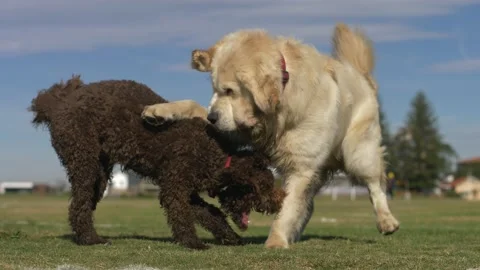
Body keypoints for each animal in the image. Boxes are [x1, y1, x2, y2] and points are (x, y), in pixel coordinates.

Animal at [29, 75, 284, 250]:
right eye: (263, 187)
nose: (280, 202)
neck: (216, 154)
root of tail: (57, 104)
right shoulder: (174, 185)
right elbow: (182, 214)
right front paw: (192, 242)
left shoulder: (186, 189)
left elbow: (211, 214)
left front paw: (231, 237)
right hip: (83, 158)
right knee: (79, 204)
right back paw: (90, 239)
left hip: (99, 172)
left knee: (82, 205)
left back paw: (86, 235)